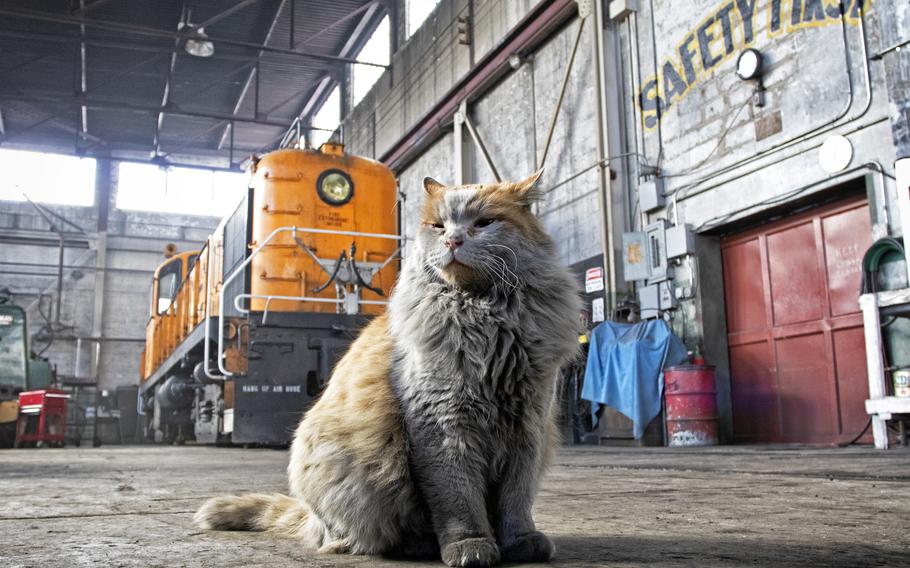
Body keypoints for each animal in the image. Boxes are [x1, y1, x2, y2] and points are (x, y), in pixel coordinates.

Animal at [197, 171, 584, 564]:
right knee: (350, 535)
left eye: (484, 223)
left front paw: (522, 541)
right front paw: (470, 545)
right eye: (438, 226)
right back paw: (414, 544)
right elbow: (458, 498)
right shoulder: (442, 424)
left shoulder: (529, 425)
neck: (486, 318)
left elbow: (516, 499)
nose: (453, 239)